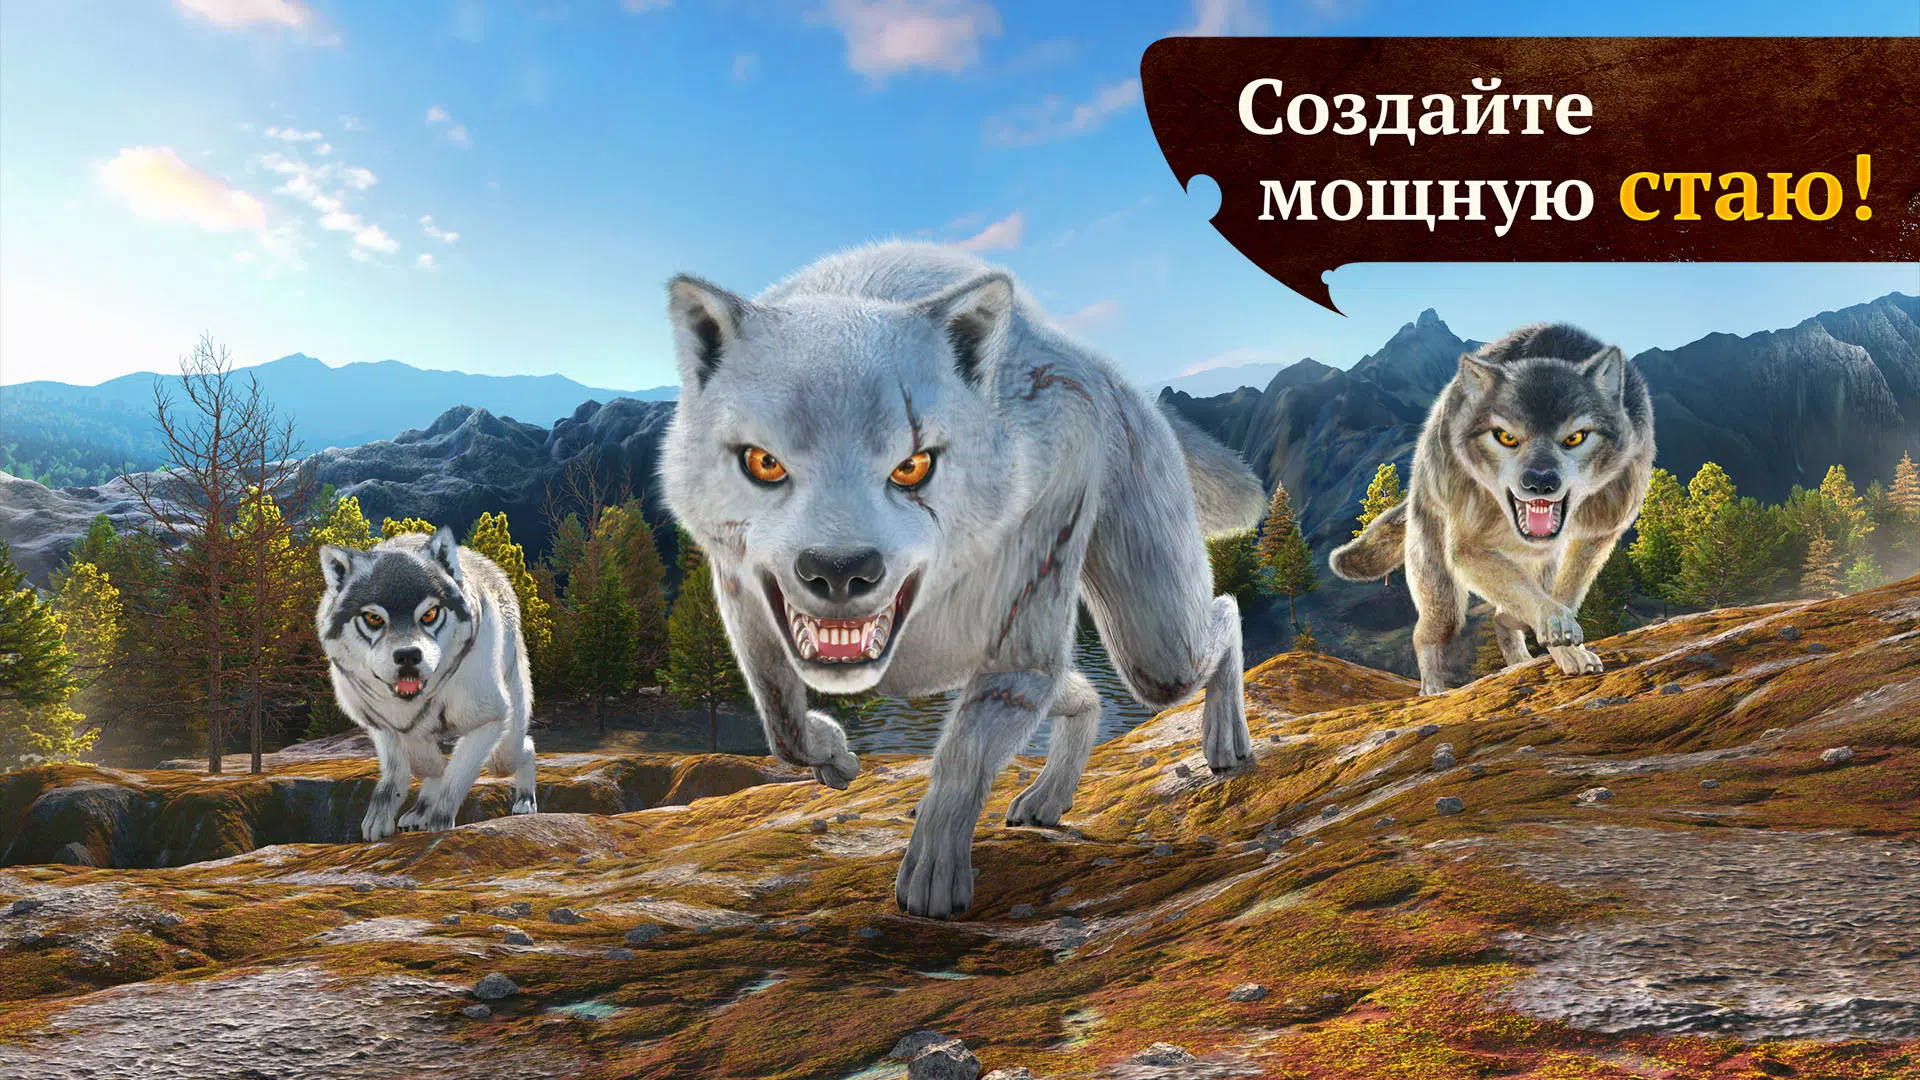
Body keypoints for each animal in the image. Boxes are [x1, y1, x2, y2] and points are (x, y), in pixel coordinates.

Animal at [316, 527, 537, 841]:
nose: (408, 655)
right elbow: (410, 766)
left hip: (504, 751)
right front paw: (382, 818)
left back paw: (525, 801)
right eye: (373, 618)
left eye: (429, 614)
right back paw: (418, 812)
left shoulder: (489, 720)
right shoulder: (379, 723)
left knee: (526, 748)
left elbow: (455, 778)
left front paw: (439, 823)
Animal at [657, 241, 1266, 919]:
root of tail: (1109, 370)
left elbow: (961, 756)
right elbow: (781, 724)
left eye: (912, 465)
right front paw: (835, 756)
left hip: (1154, 652)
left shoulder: (1023, 633)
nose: (840, 570)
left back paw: (1226, 743)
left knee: (1223, 612)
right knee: (1086, 692)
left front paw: (932, 880)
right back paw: (1046, 800)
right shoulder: (744, 604)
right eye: (764, 463)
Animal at [1331, 324, 1655, 695]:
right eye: (1505, 437)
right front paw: (1555, 625)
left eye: (1575, 438)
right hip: (1444, 600)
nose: (1540, 483)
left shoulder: (1600, 532)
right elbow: (1531, 597)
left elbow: (1566, 593)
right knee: (1427, 633)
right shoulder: (1468, 547)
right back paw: (1434, 689)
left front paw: (1567, 644)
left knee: (1505, 614)